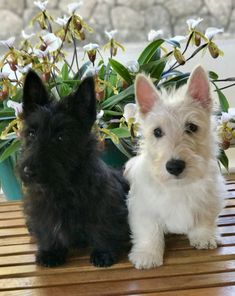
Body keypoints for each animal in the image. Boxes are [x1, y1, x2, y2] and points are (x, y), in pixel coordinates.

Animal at [19, 71, 130, 268]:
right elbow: (47, 229)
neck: (63, 186)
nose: (28, 172)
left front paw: (103, 253)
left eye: (61, 137)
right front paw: (51, 252)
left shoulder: (105, 205)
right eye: (31, 133)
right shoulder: (41, 209)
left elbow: (103, 226)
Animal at [125, 66, 226, 270]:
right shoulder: (143, 209)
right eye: (157, 132)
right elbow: (149, 232)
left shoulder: (209, 200)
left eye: (192, 127)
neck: (178, 186)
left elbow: (204, 220)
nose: (174, 166)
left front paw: (204, 237)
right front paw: (148, 254)